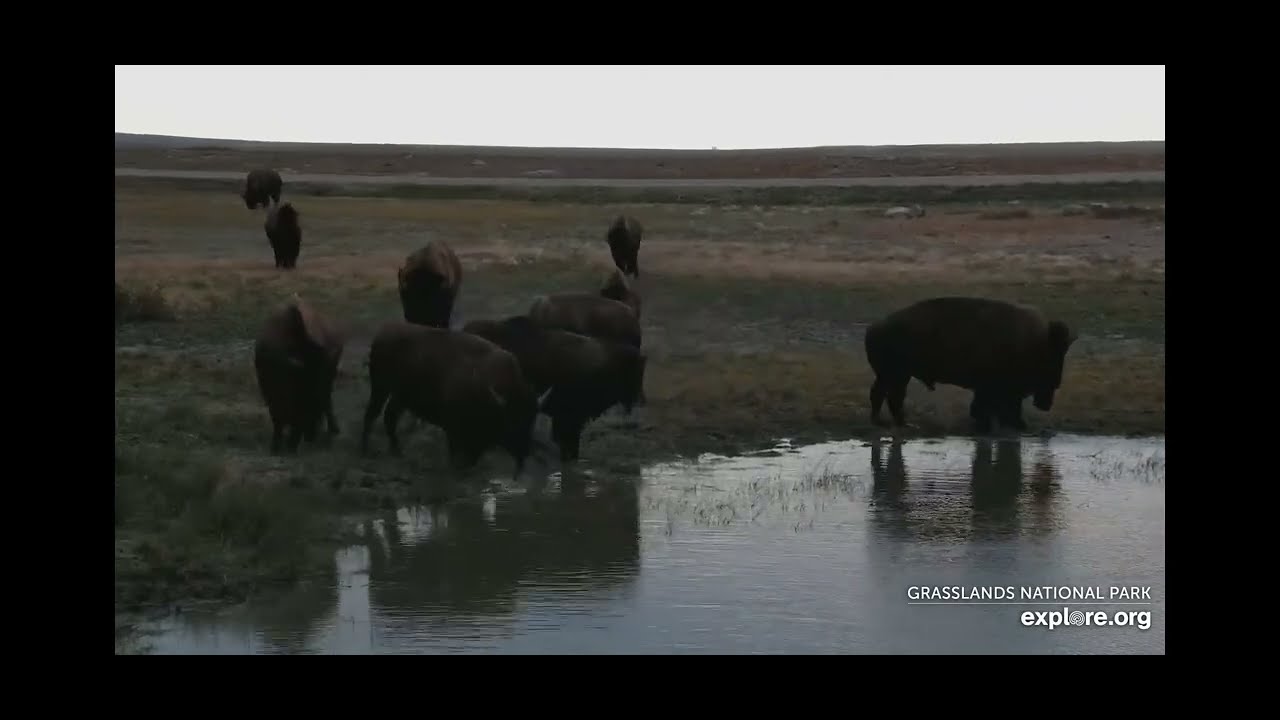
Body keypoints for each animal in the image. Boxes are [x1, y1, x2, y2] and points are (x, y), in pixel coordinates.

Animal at [360, 322, 546, 479]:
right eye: (511, 419)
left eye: (532, 419)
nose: (524, 451)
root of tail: (382, 333)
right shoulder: (453, 428)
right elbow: (455, 451)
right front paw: (456, 470)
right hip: (380, 388)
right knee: (372, 414)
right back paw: (366, 450)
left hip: (399, 396)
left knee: (389, 416)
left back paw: (396, 451)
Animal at [864, 296, 1078, 433]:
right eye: (1053, 357)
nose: (1046, 404)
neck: (1034, 343)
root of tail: (874, 327)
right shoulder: (992, 386)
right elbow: (988, 406)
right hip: (894, 375)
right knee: (889, 396)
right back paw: (892, 423)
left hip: (895, 375)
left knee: (886, 395)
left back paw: (891, 422)